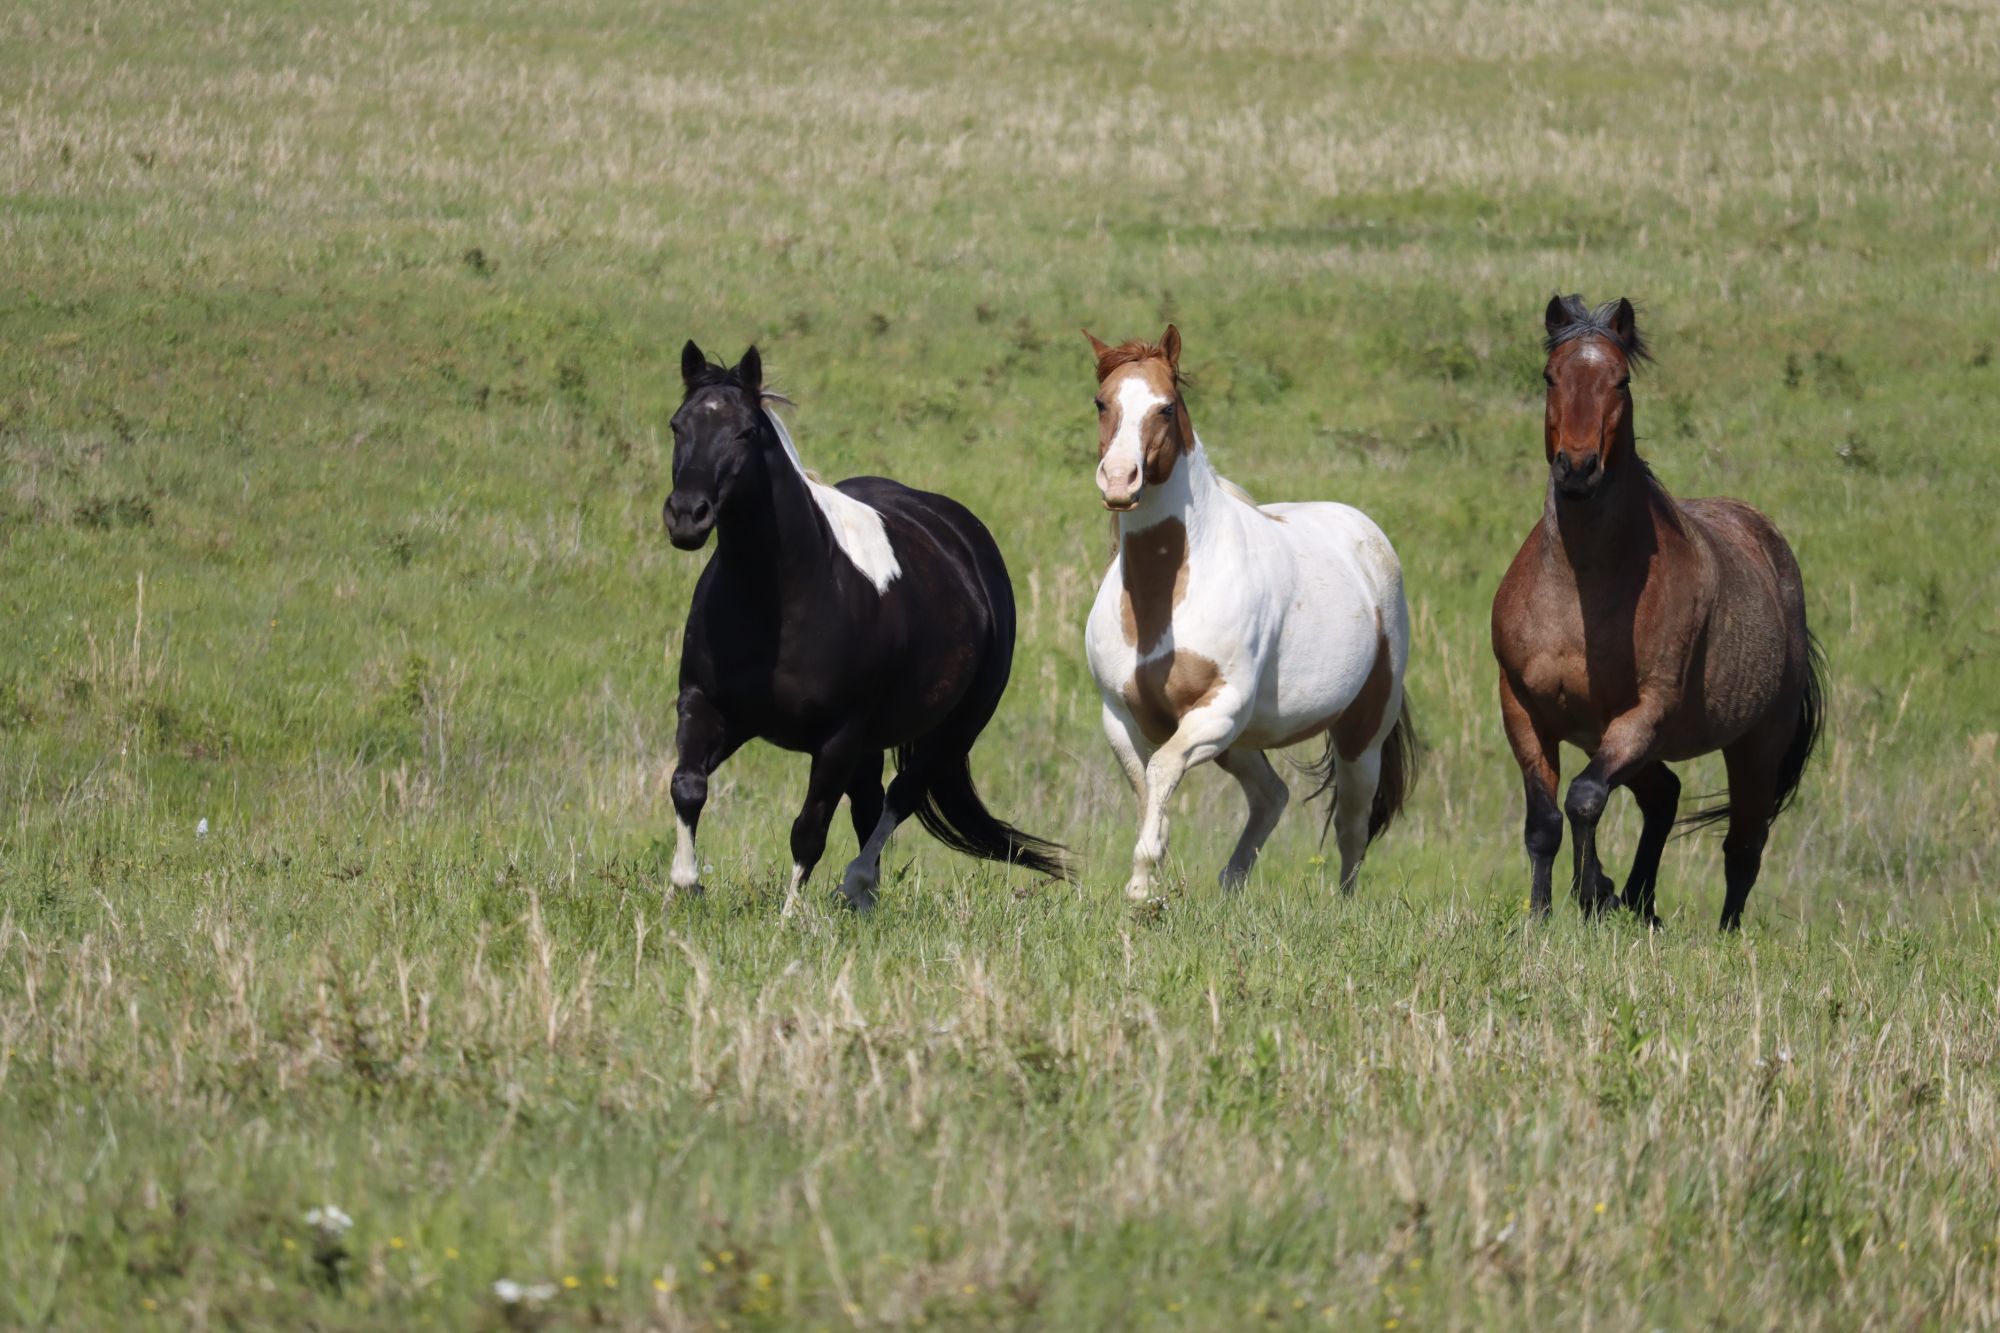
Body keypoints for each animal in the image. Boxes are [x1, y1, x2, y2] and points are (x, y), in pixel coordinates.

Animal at [661, 340, 1066, 914]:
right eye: (678, 425)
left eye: (745, 432)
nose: (686, 516)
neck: (777, 600)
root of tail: (964, 534)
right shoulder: (706, 706)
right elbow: (688, 786)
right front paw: (685, 885)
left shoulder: (838, 736)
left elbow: (809, 830)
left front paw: (788, 919)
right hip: (874, 743)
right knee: (871, 804)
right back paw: (864, 902)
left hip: (952, 729)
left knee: (900, 797)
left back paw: (856, 885)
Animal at [1080, 325, 1417, 902]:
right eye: (1103, 402)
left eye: (1166, 406)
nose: (1120, 481)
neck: (1163, 603)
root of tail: (1368, 537)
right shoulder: (1121, 717)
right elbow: (1148, 790)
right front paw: (1149, 887)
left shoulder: (1219, 709)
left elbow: (1163, 770)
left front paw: (1143, 885)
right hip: (1238, 743)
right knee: (1271, 795)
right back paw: (1229, 887)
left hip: (1361, 733)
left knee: (1352, 824)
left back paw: (1342, 906)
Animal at [1490, 295, 1826, 931]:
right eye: (1550, 376)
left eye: (1620, 380)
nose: (1577, 468)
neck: (1578, 597)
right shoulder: (1523, 707)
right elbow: (1544, 821)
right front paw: (1544, 916)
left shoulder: (1644, 713)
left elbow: (1584, 798)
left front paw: (1592, 893)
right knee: (1665, 797)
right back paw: (1640, 902)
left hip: (1754, 746)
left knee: (1743, 844)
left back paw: (1721, 933)